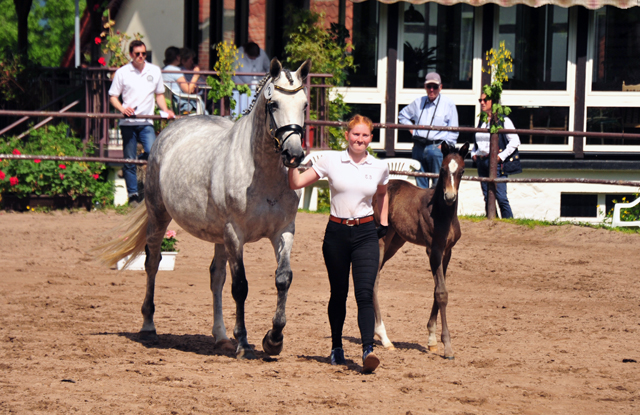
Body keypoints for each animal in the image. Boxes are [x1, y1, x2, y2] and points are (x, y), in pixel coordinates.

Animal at [96, 58, 312, 360]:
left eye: (304, 104)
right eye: (273, 104)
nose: (294, 154)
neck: (262, 173)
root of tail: (172, 128)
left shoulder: (283, 231)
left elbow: (282, 278)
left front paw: (274, 339)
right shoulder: (235, 234)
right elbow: (240, 286)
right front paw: (244, 342)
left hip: (219, 237)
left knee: (216, 277)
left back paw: (221, 336)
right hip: (160, 216)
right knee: (153, 263)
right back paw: (149, 325)